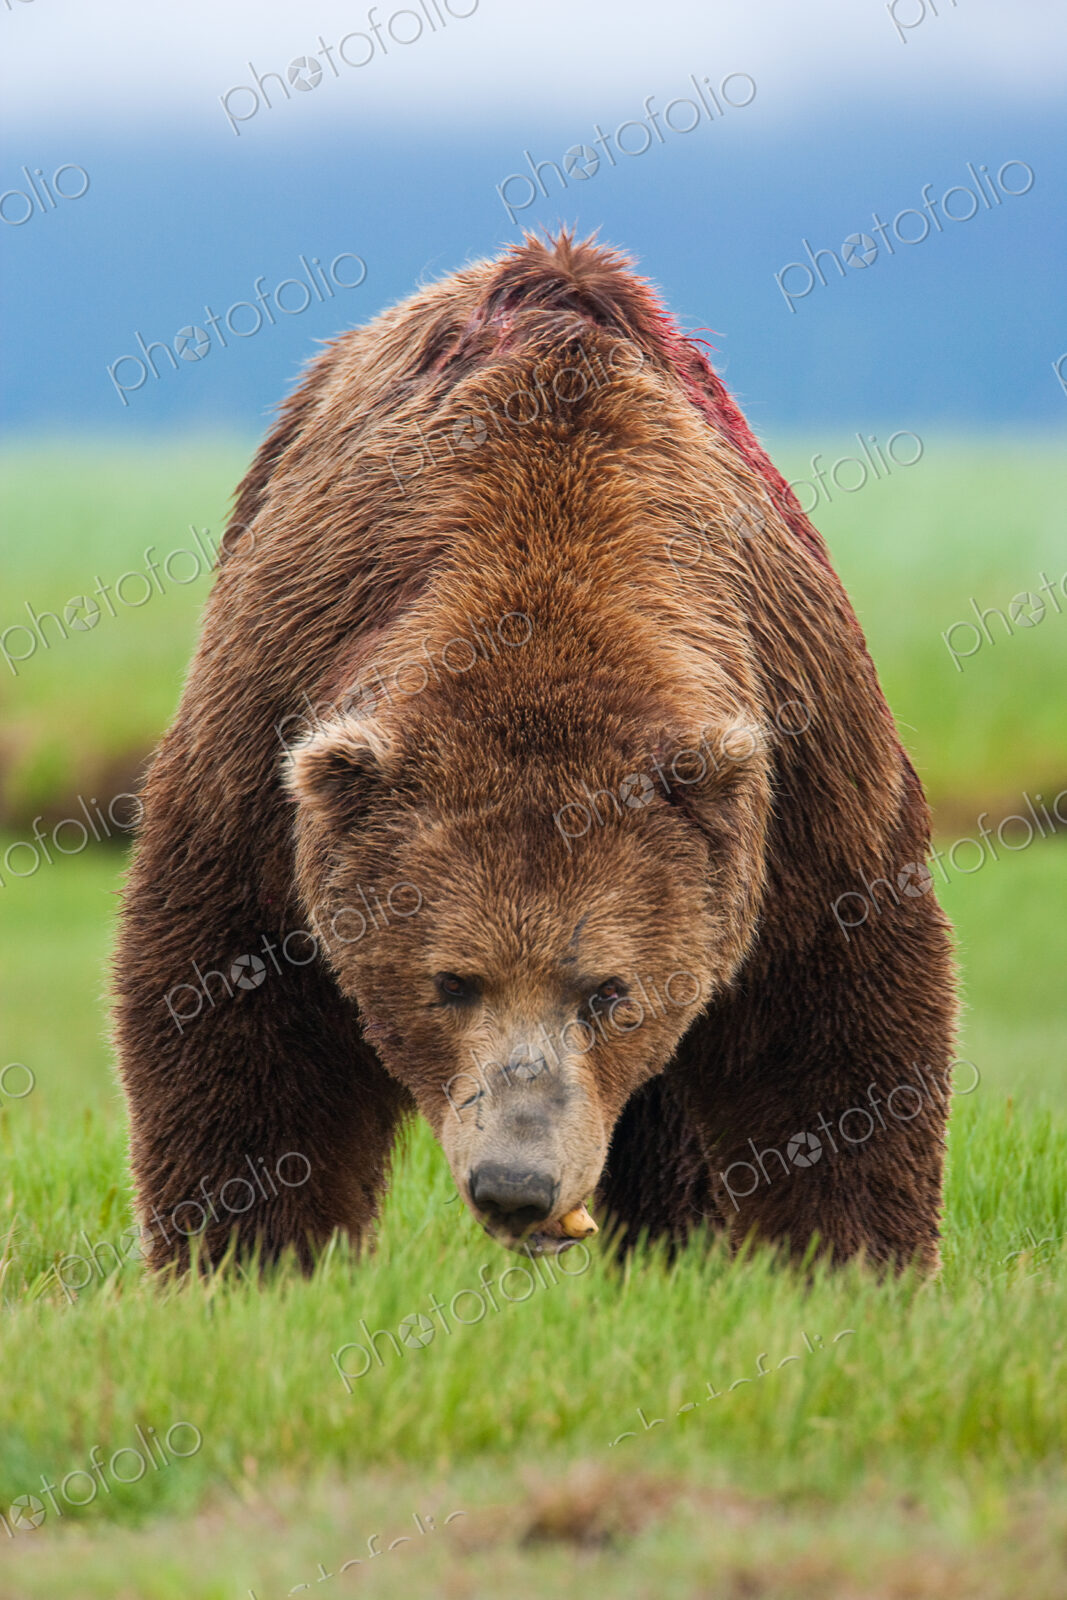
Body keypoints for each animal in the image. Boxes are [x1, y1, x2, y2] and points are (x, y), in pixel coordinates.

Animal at [113, 232, 957, 1275]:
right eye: (450, 980)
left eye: (606, 991)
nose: (516, 1185)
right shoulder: (275, 730)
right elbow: (235, 1010)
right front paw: (247, 1257)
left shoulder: (799, 770)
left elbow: (833, 1016)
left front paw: (848, 1263)